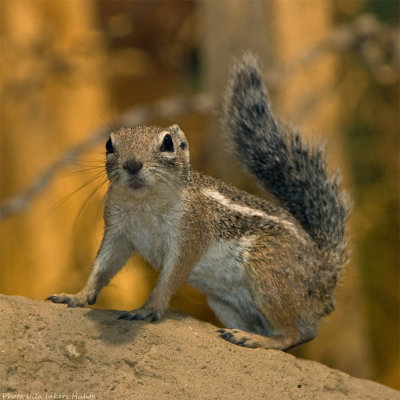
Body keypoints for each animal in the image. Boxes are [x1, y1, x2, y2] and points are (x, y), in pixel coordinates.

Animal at [47, 55, 348, 350]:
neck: (145, 203)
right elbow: (103, 266)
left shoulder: (190, 232)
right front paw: (76, 296)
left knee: (292, 334)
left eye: (168, 143)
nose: (132, 164)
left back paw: (252, 339)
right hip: (226, 303)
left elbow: (169, 278)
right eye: (109, 144)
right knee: (302, 333)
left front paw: (147, 310)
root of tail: (326, 276)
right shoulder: (118, 231)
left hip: (269, 274)